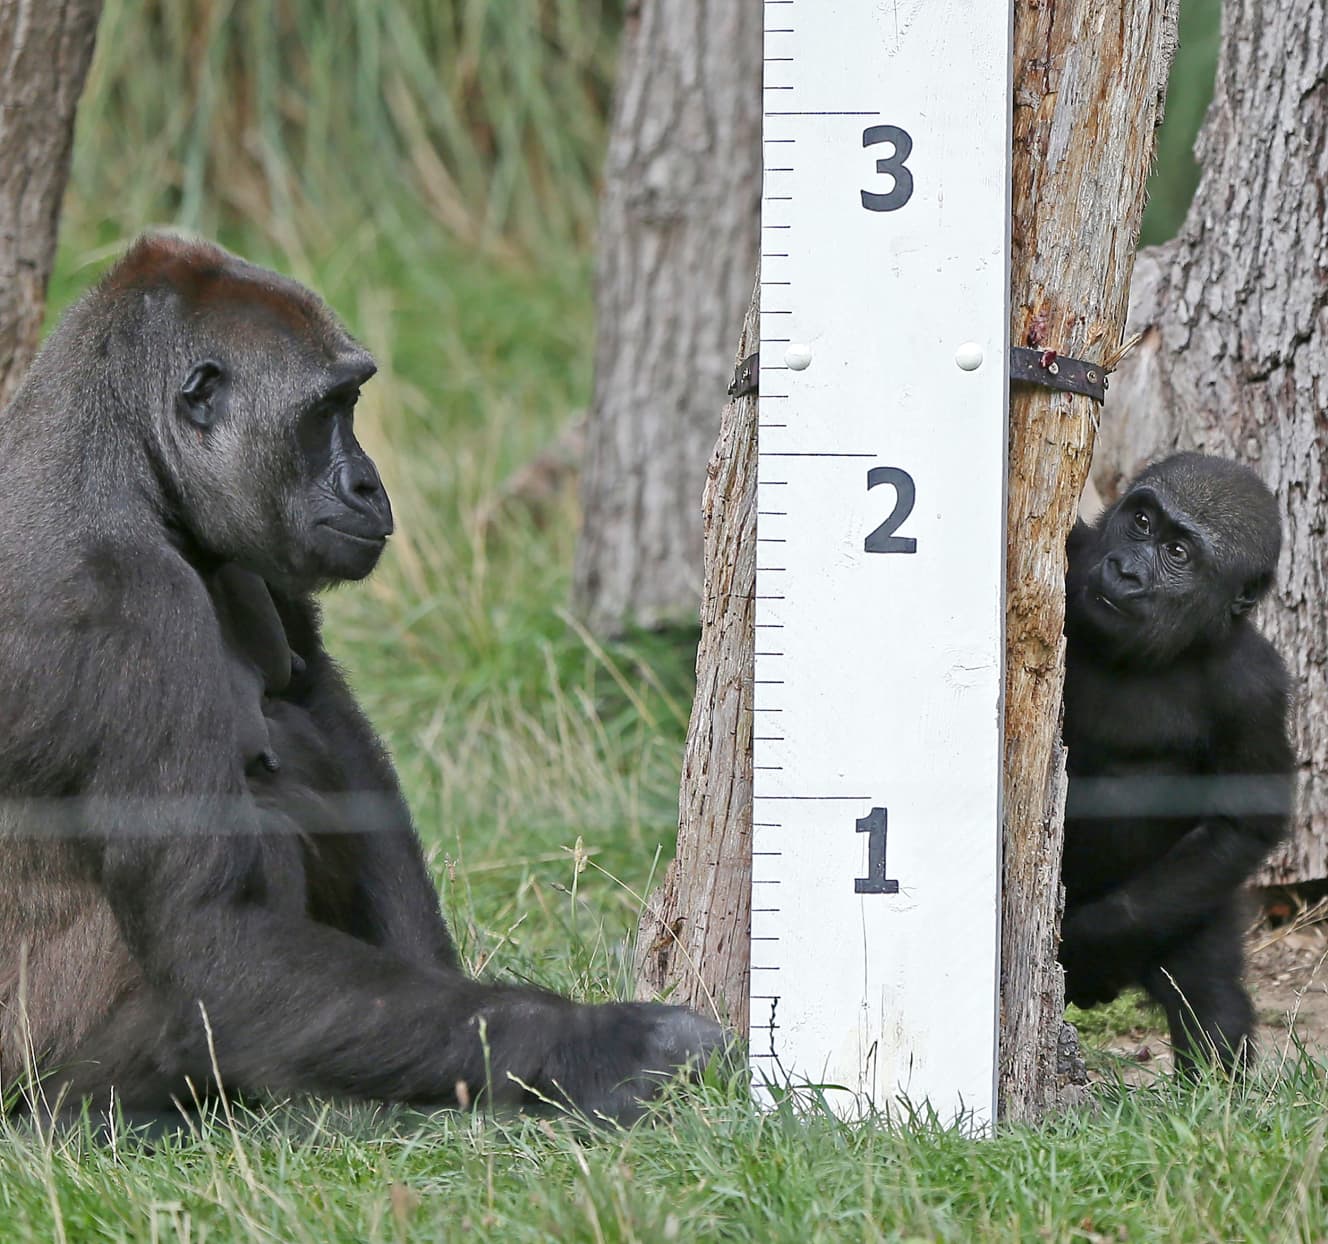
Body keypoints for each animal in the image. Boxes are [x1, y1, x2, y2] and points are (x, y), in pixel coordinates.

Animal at [0, 234, 722, 1125]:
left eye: (352, 401)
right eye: (324, 413)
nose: (368, 484)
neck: (120, 458)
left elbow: (325, 714)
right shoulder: (127, 606)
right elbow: (212, 932)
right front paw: (598, 1047)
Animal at [1062, 451, 1290, 1072]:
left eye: (1179, 553)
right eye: (1141, 522)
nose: (1125, 572)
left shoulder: (1256, 686)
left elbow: (1243, 823)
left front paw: (1088, 945)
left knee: (1212, 998)